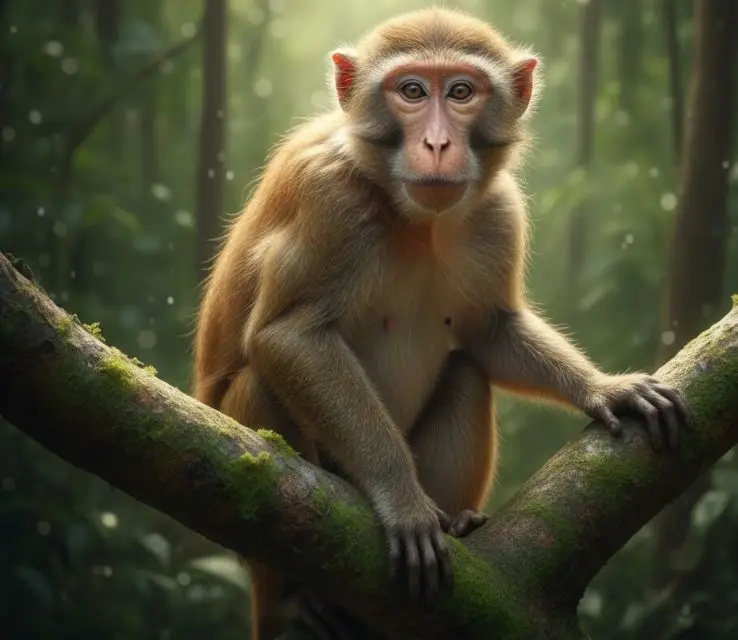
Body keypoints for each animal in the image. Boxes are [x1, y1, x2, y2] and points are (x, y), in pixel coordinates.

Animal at [192, 8, 689, 640]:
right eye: (411, 91)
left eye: (460, 92)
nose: (436, 142)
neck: (414, 216)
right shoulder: (326, 196)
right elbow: (290, 334)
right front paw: (401, 497)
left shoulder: (498, 211)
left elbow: (489, 331)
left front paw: (607, 387)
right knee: (260, 385)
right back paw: (299, 596)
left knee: (466, 375)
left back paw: (456, 527)